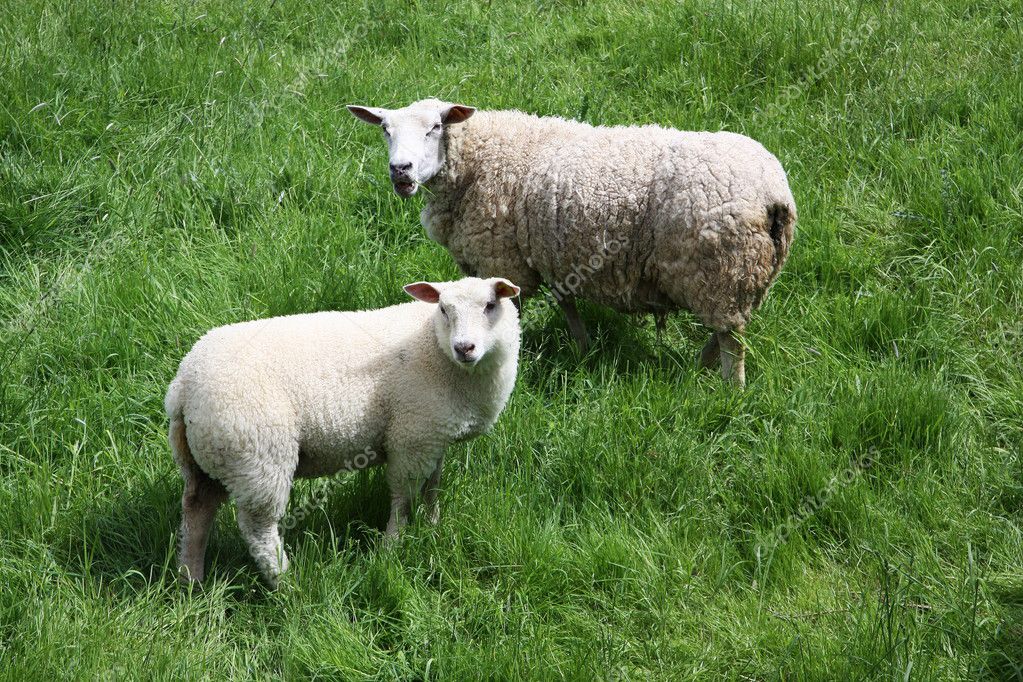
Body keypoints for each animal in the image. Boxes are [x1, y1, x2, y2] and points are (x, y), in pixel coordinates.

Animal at [165, 276, 521, 587]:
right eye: (444, 310)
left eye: (490, 305)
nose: (464, 348)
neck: (434, 346)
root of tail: (183, 386)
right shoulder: (411, 436)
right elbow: (403, 497)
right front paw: (392, 547)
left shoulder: (434, 435)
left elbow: (432, 487)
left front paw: (432, 526)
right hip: (258, 457)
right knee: (258, 530)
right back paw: (287, 584)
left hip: (204, 457)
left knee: (196, 509)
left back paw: (190, 580)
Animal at [347, 99, 796, 386]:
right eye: (385, 130)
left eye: (435, 127)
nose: (400, 170)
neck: (478, 160)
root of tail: (773, 194)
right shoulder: (550, 253)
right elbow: (567, 303)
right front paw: (583, 348)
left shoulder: (504, 261)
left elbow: (513, 313)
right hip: (745, 273)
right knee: (729, 328)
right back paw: (699, 366)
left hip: (720, 269)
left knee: (732, 340)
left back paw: (731, 391)